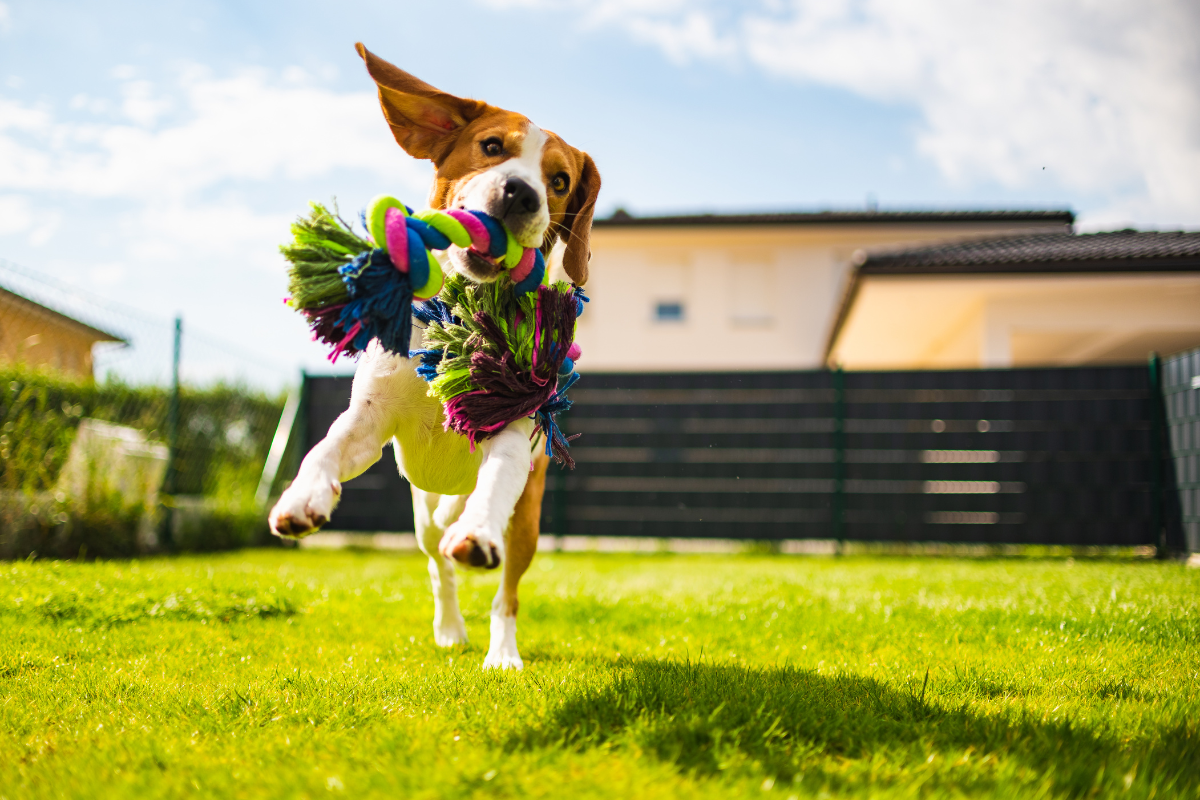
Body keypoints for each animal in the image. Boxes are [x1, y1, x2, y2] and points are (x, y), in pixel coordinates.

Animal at [274, 43, 600, 671]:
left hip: (527, 522)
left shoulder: (513, 432)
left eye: (560, 181)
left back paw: (500, 649)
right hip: (422, 514)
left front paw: (477, 534)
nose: (522, 193)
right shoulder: (371, 417)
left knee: (504, 590)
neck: (459, 320)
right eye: (492, 146)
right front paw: (303, 495)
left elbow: (495, 482)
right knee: (435, 563)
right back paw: (450, 628)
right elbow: (327, 446)